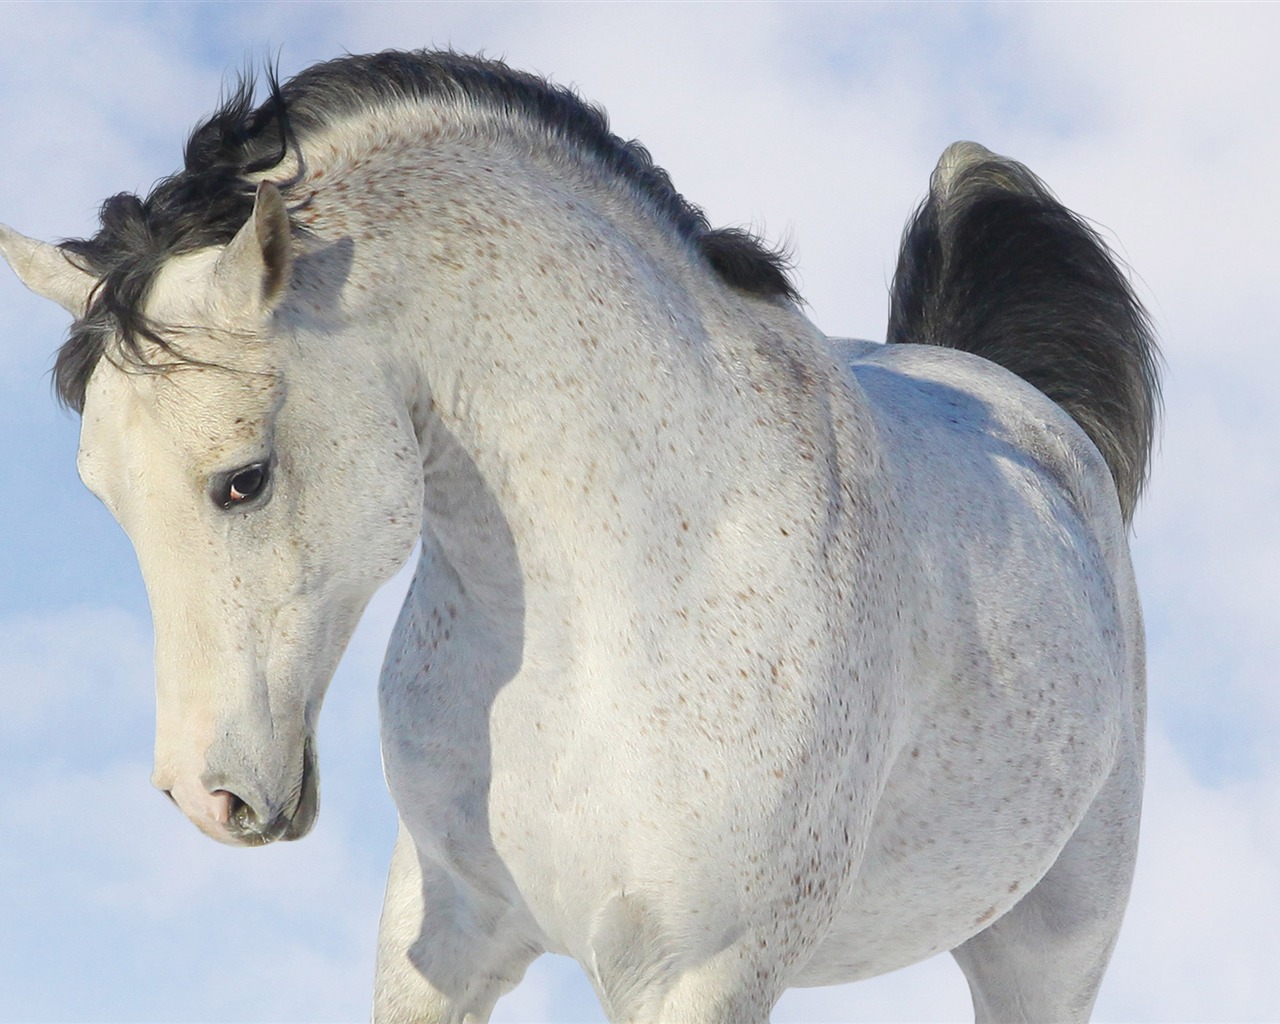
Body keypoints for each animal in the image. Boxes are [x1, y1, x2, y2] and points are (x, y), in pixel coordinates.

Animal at [2, 49, 1162, 1024]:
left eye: (243, 481)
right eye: (101, 492)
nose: (209, 795)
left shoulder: (699, 975)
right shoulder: (443, 938)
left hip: (1046, 950)